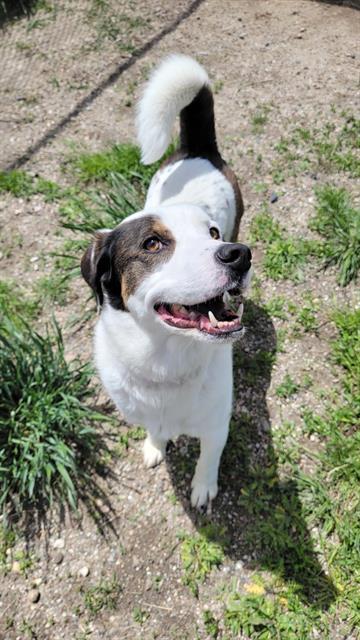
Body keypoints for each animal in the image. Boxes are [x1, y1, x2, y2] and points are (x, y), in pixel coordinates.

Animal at [81, 55, 252, 508]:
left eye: (212, 234)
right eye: (153, 244)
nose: (239, 254)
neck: (166, 364)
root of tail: (198, 149)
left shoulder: (216, 424)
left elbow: (208, 458)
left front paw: (203, 489)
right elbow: (155, 431)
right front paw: (156, 446)